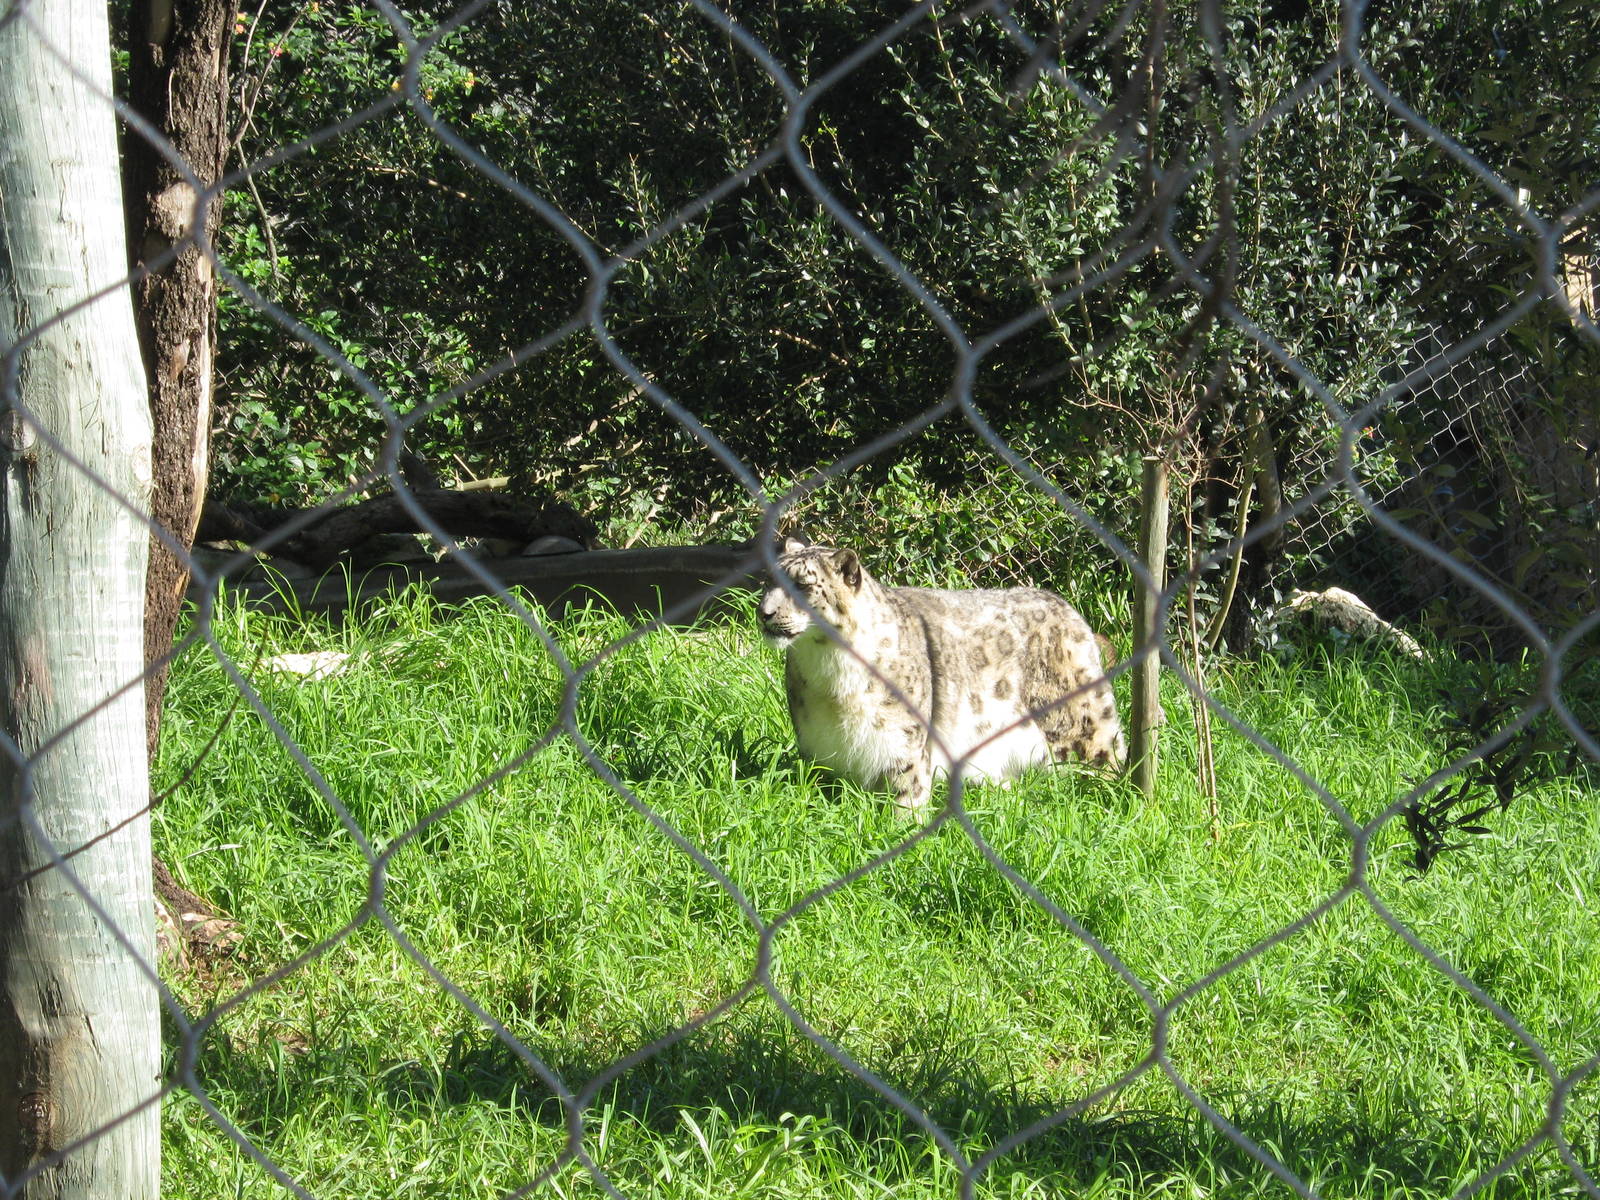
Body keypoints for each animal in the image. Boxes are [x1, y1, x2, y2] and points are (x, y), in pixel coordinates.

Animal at [757, 537, 1126, 818]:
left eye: (803, 586)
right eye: (768, 582)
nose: (764, 612)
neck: (830, 676)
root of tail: (1068, 609)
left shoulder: (902, 741)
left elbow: (907, 788)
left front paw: (902, 826)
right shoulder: (821, 746)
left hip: (1078, 726)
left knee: (1106, 759)